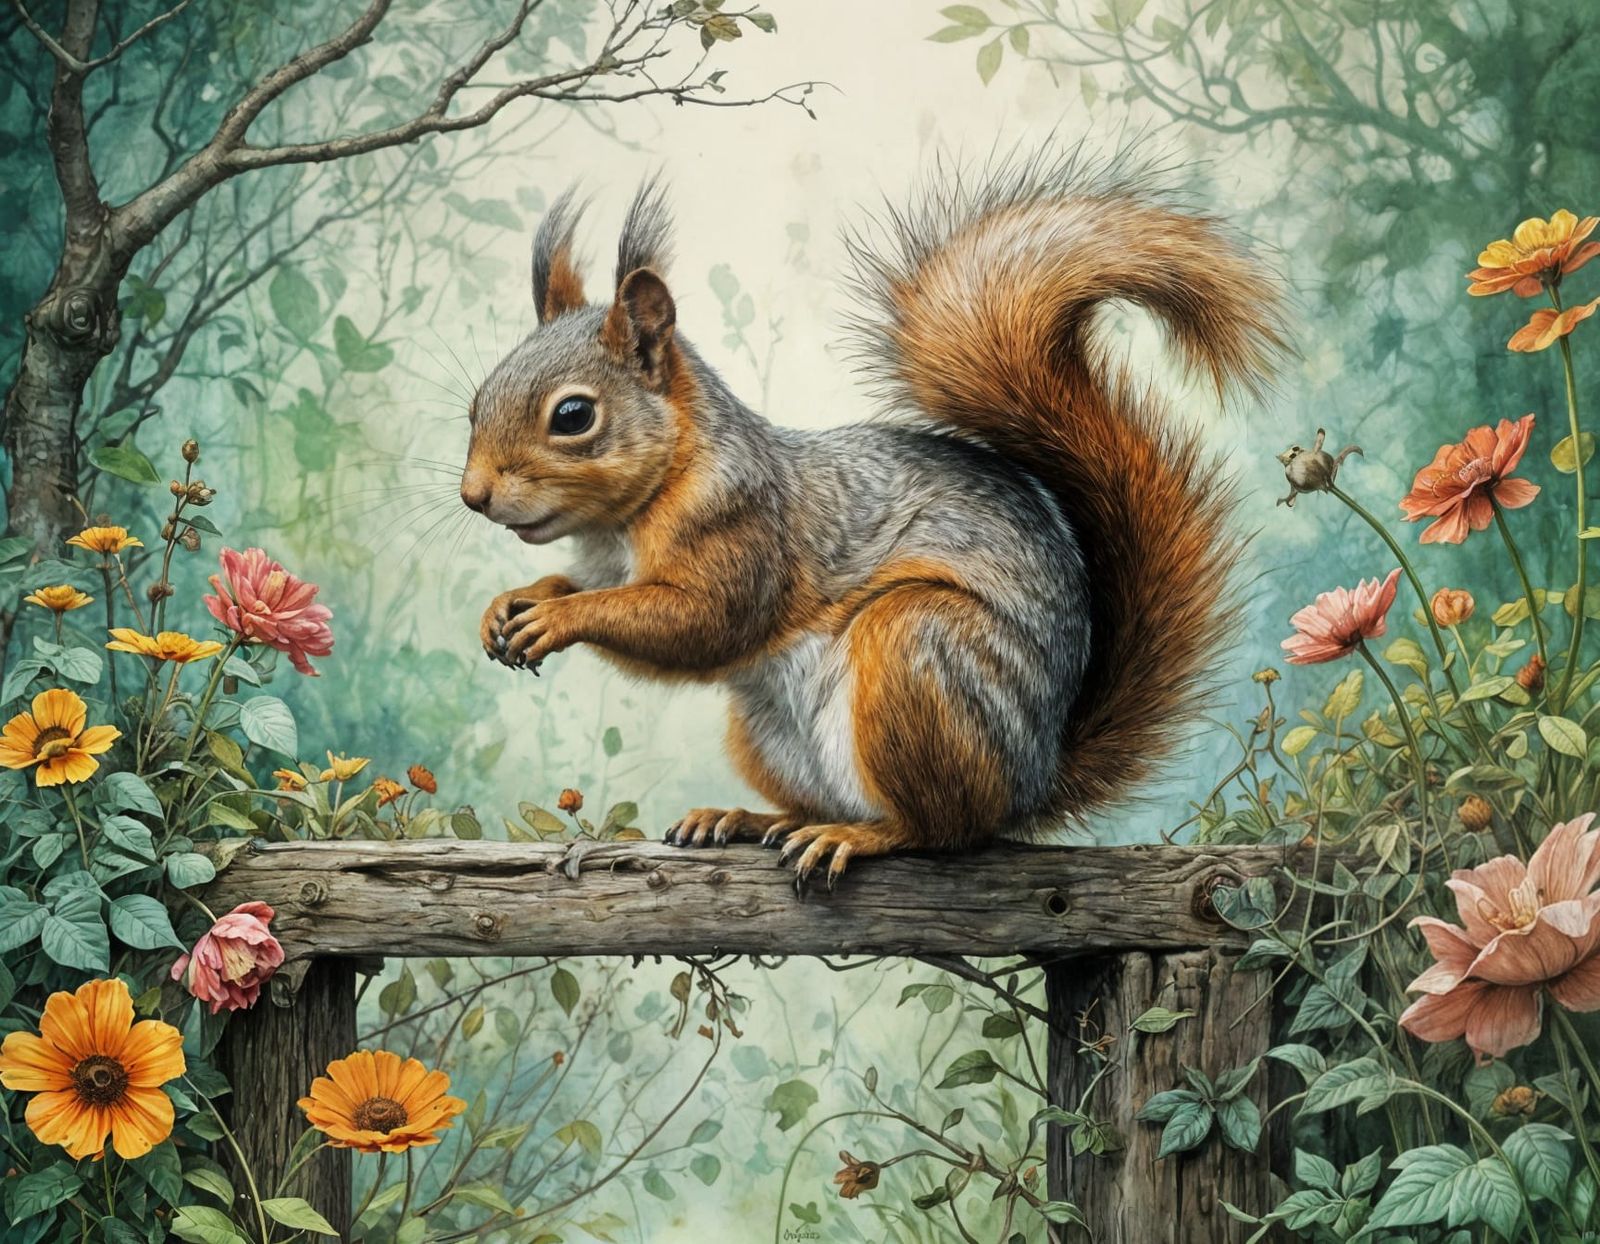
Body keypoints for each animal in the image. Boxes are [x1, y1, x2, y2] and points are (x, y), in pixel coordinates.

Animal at [458, 150, 1283, 883]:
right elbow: (588, 587)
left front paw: (557, 619)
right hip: (765, 732)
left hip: (919, 651)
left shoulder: (748, 531)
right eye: (476, 403)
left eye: (573, 416)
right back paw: (749, 818)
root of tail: (1033, 778)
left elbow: (702, 624)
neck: (628, 518)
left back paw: (858, 836)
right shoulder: (605, 560)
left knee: (944, 829)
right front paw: (518, 602)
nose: (474, 496)